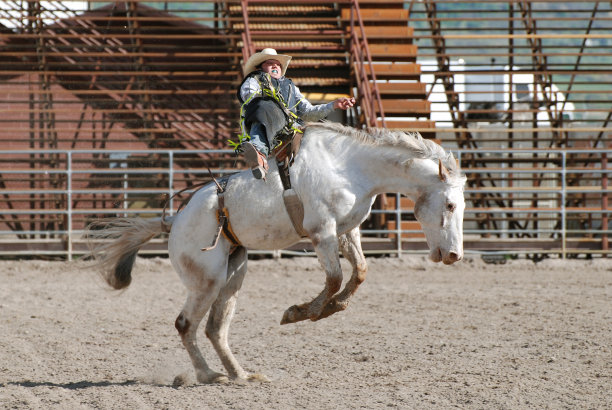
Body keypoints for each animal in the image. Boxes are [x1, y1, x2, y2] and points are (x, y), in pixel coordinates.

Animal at [86, 121, 466, 384]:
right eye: (449, 204)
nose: (454, 256)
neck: (349, 167)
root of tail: (173, 221)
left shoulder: (347, 231)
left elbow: (359, 272)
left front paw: (334, 307)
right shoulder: (322, 231)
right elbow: (333, 277)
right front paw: (300, 313)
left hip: (233, 274)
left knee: (214, 329)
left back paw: (241, 375)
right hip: (206, 280)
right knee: (186, 324)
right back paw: (209, 376)